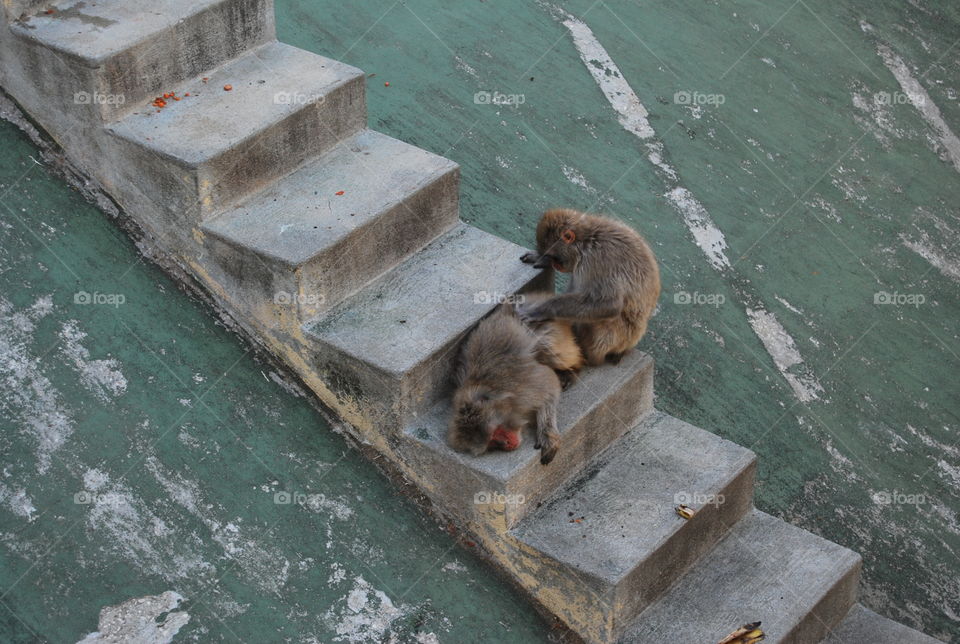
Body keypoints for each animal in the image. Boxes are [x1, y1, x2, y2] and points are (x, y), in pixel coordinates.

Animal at [447, 304, 561, 465]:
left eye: (497, 431)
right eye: (492, 442)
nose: (507, 444)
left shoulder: (525, 391)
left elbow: (550, 387)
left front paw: (548, 436)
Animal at [519, 208, 660, 366]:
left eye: (556, 258)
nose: (555, 264)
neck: (587, 241)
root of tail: (629, 345)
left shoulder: (599, 260)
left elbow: (609, 304)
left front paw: (540, 310)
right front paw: (540, 258)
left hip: (614, 337)